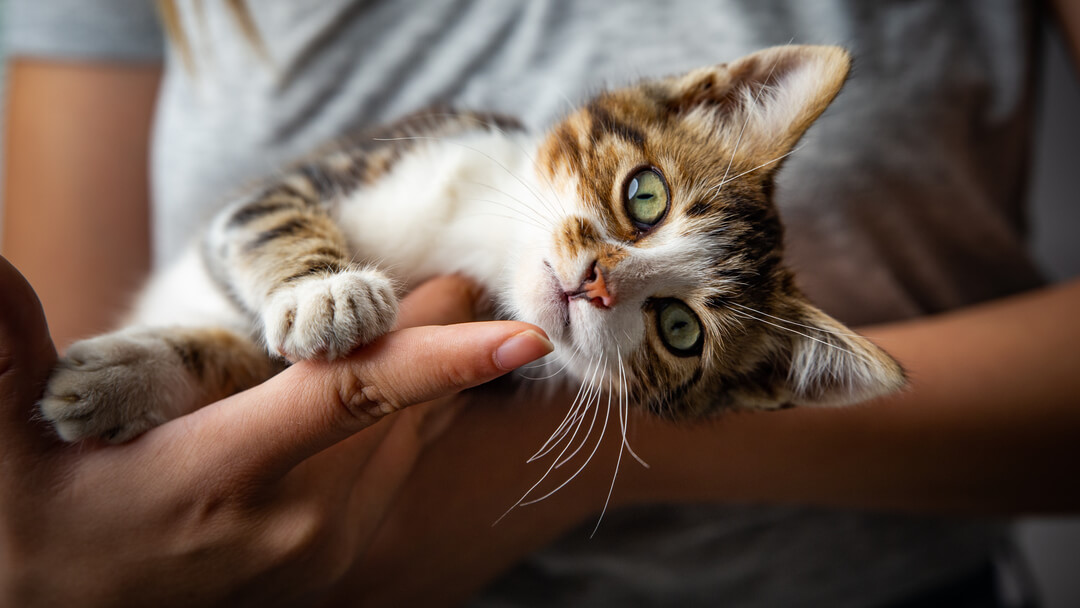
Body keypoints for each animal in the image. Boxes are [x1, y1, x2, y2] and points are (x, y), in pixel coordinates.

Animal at [39, 42, 902, 442]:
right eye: (646, 197)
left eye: (680, 330)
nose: (596, 281)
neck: (480, 238)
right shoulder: (334, 168)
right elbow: (269, 217)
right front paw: (324, 292)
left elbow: (249, 358)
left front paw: (124, 380)